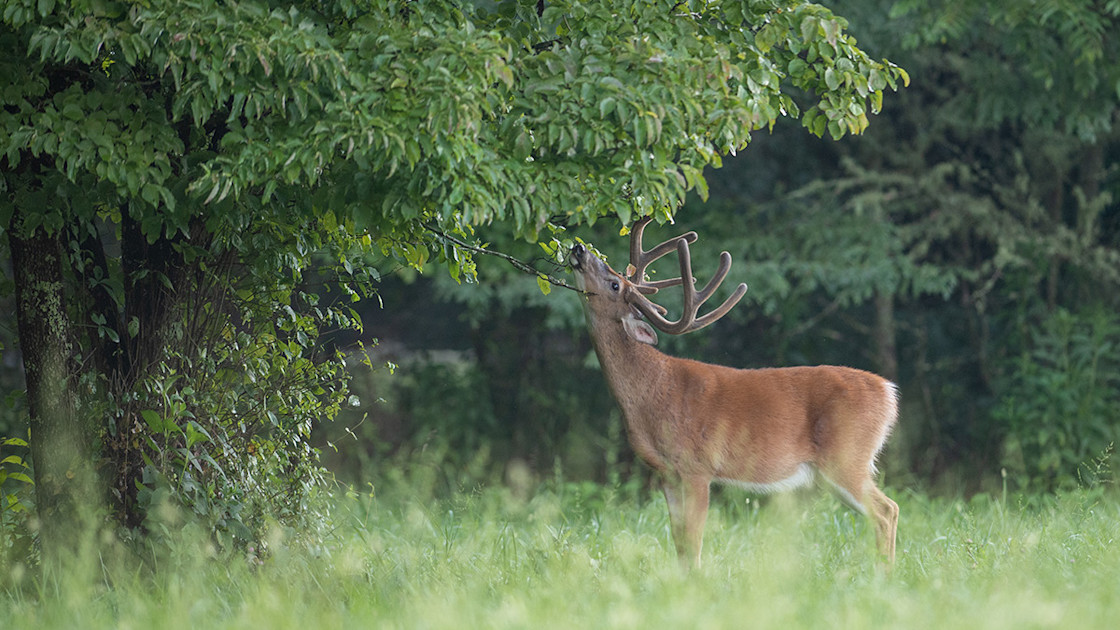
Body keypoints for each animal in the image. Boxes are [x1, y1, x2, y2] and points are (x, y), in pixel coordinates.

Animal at [568, 215, 900, 569]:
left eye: (615, 284)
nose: (578, 248)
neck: (651, 391)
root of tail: (888, 391)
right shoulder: (666, 473)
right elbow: (679, 543)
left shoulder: (697, 466)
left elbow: (693, 542)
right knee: (886, 511)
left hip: (847, 455)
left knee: (886, 510)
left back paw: (884, 575)